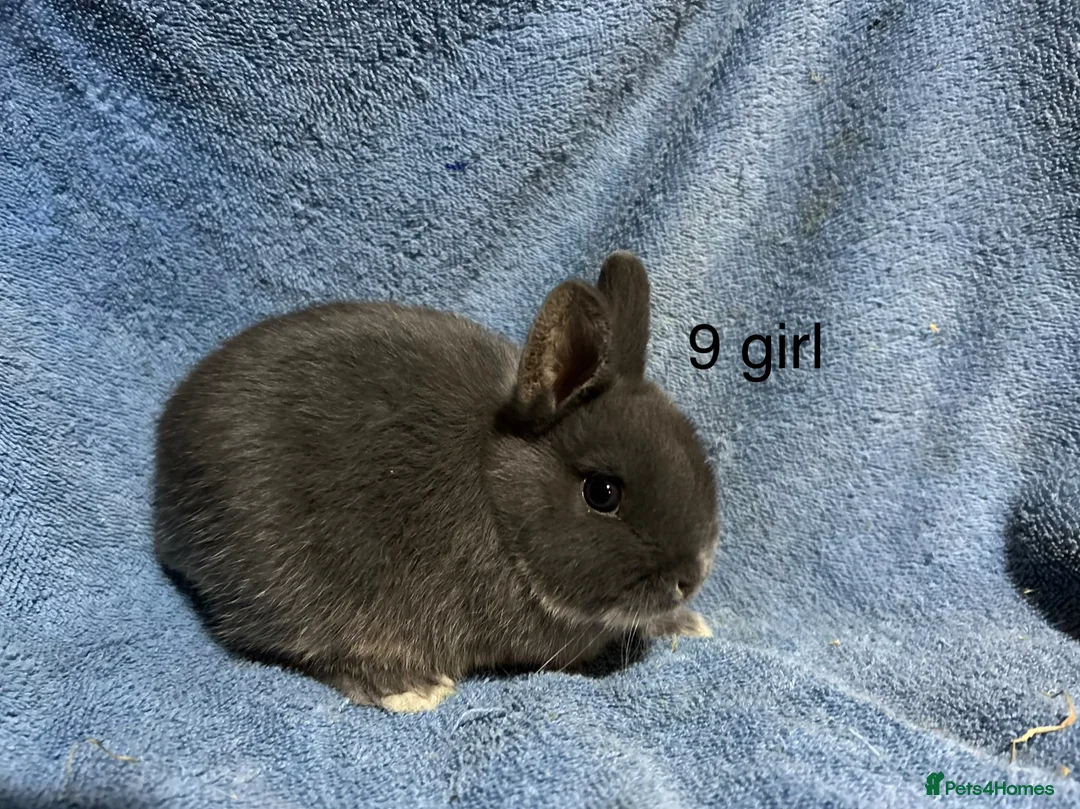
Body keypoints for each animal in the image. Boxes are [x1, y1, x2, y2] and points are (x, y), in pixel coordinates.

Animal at [153, 251, 719, 713]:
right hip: (291, 585)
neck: (497, 495)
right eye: (602, 493)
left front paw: (684, 623)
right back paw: (407, 686)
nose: (690, 578)